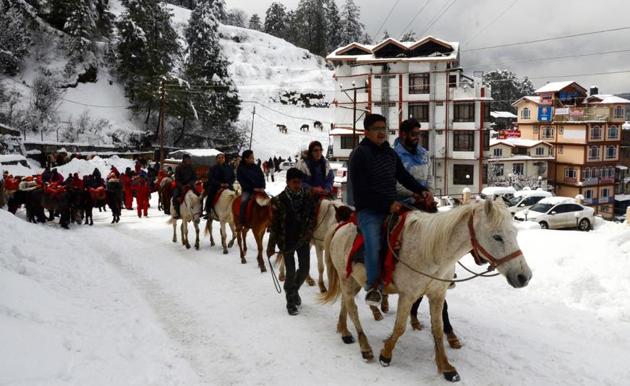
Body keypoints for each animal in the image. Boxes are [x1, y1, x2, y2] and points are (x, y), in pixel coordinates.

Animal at [320, 199, 532, 382]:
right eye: (497, 236)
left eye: (514, 233)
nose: (524, 276)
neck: (432, 252)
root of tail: (339, 228)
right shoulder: (408, 296)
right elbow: (399, 327)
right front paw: (386, 354)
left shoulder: (437, 295)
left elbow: (437, 328)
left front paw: (446, 367)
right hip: (346, 279)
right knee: (352, 308)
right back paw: (364, 347)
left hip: (353, 281)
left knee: (345, 303)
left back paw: (344, 331)